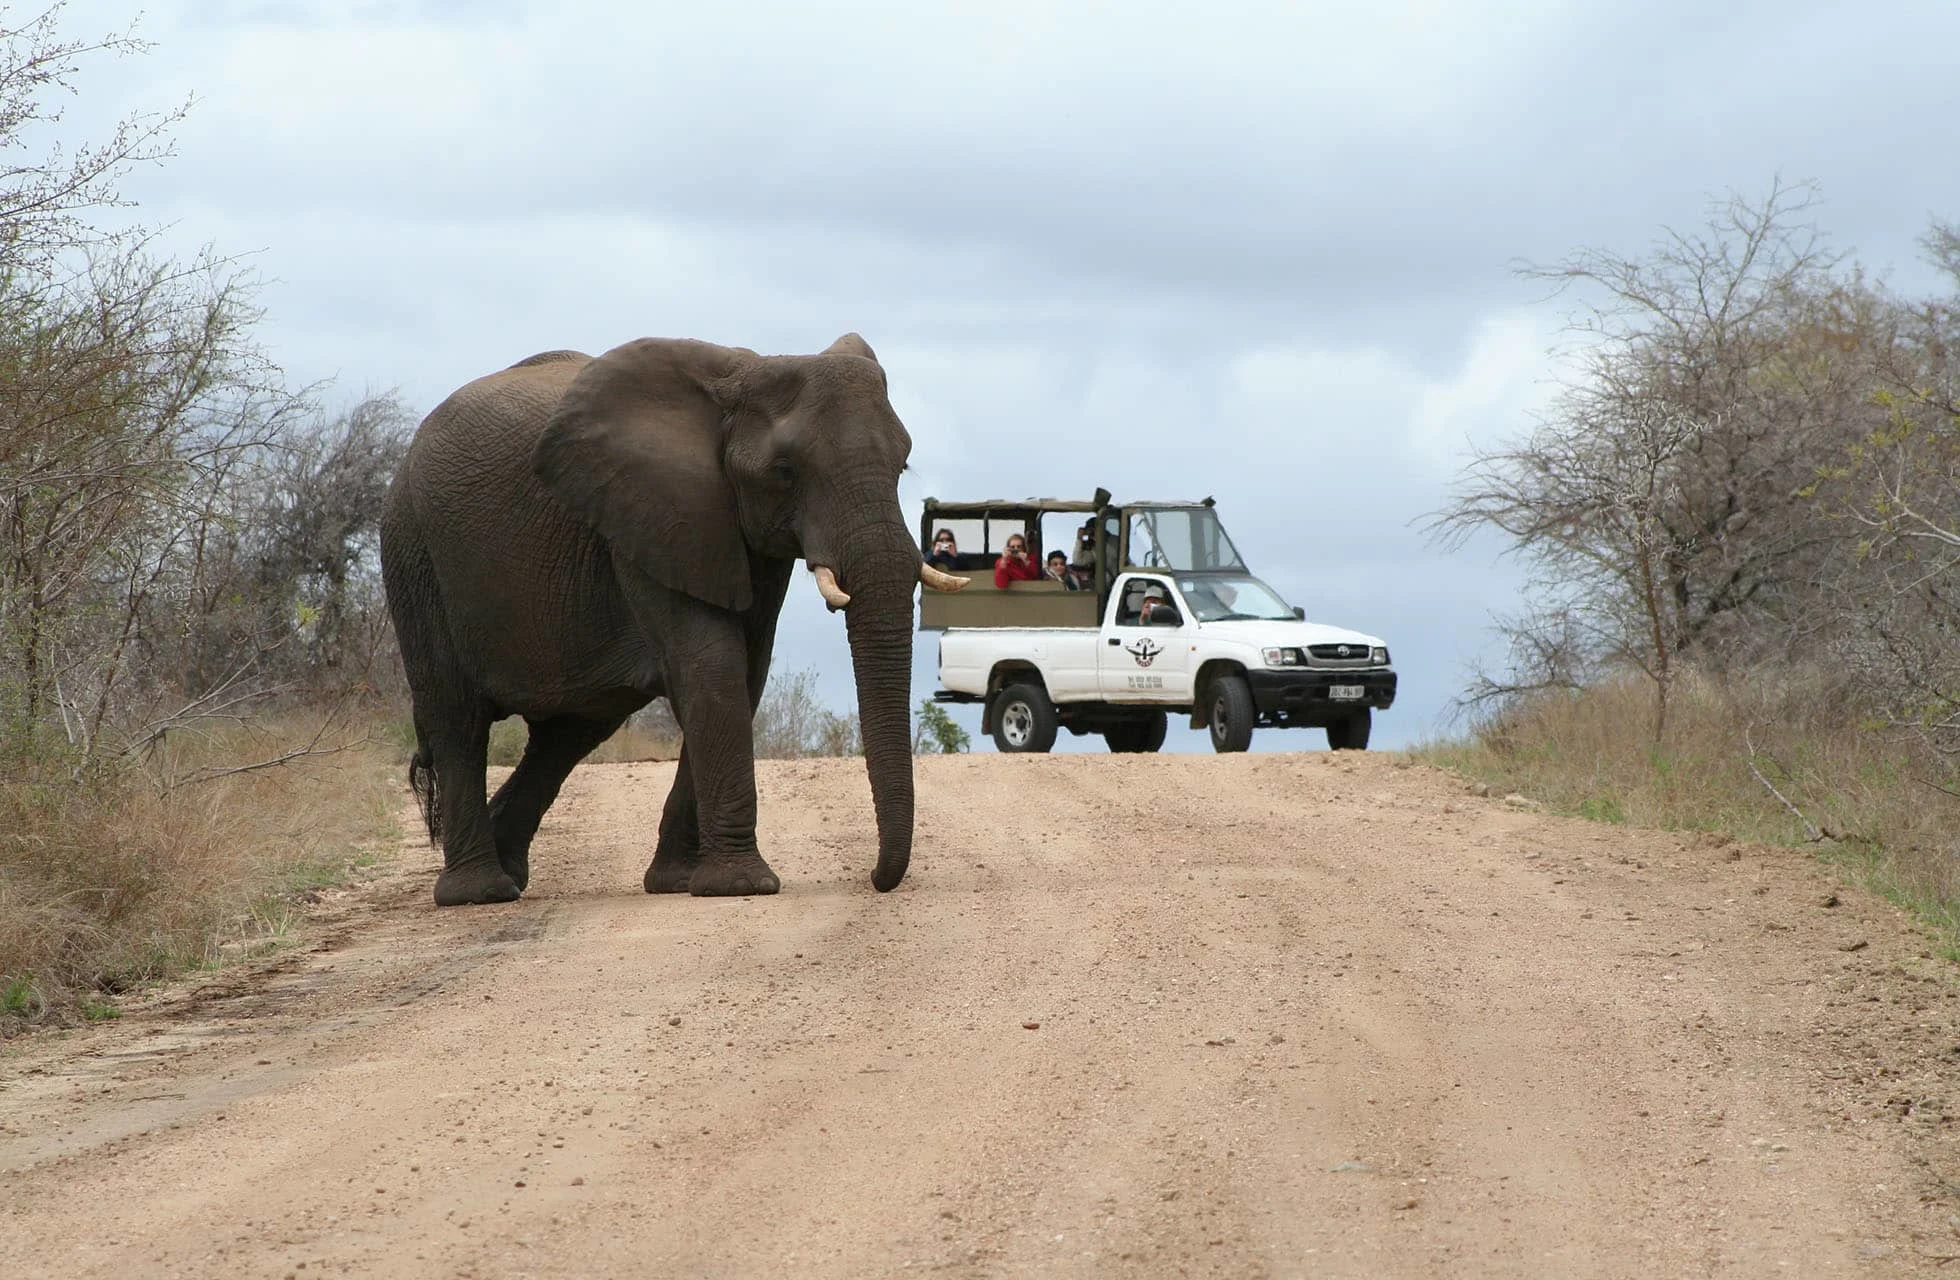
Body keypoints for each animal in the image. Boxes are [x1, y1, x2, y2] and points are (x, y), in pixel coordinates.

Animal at [378, 333, 968, 907]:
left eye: (902, 466)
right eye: (784, 472)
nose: (874, 879)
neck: (739, 375)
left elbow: (744, 673)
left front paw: (680, 882)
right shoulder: (649, 517)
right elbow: (712, 668)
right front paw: (741, 887)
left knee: (570, 731)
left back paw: (510, 874)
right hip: (413, 555)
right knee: (458, 720)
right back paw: (479, 893)